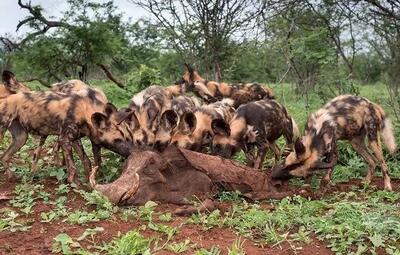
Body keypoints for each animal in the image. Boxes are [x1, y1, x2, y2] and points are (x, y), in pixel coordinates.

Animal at [0, 90, 134, 184]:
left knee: (4, 156)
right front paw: (78, 185)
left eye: (129, 139)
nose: (132, 153)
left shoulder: (74, 140)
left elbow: (86, 161)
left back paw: (12, 177)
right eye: (117, 140)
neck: (83, 111)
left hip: (21, 138)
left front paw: (88, 180)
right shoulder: (64, 140)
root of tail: (4, 99)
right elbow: (73, 168)